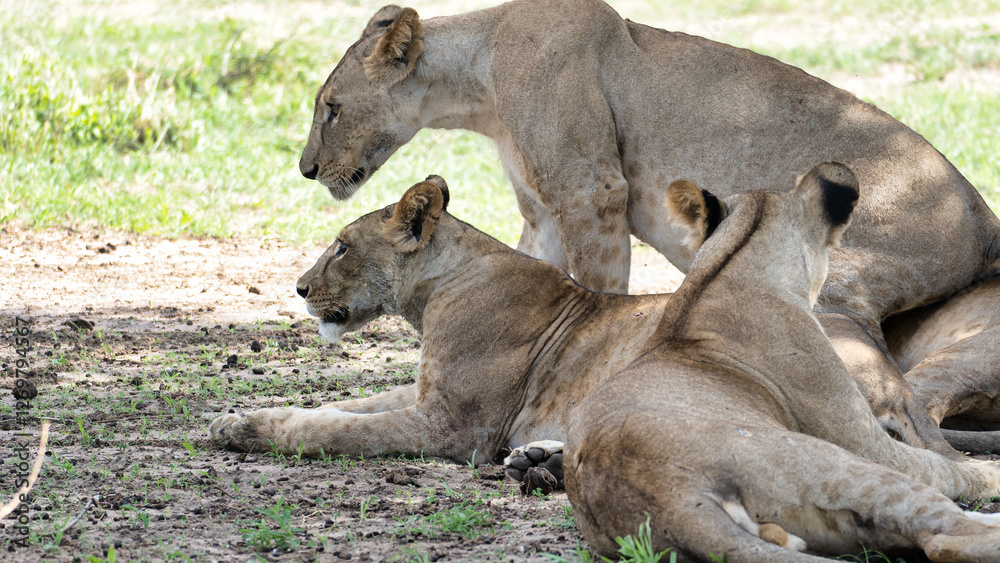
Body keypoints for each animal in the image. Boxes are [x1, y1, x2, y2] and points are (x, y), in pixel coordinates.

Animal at [208, 167, 1000, 510]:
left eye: (342, 246)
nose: (298, 289)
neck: (437, 288)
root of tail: (897, 384)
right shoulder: (425, 393)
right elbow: (347, 404)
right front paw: (235, 415)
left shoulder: (454, 426)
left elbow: (339, 430)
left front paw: (252, 428)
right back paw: (539, 463)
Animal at [563, 162, 1000, 562]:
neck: (724, 268)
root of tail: (668, 501)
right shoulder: (864, 441)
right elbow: (940, 466)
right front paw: (986, 473)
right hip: (839, 465)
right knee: (940, 537)